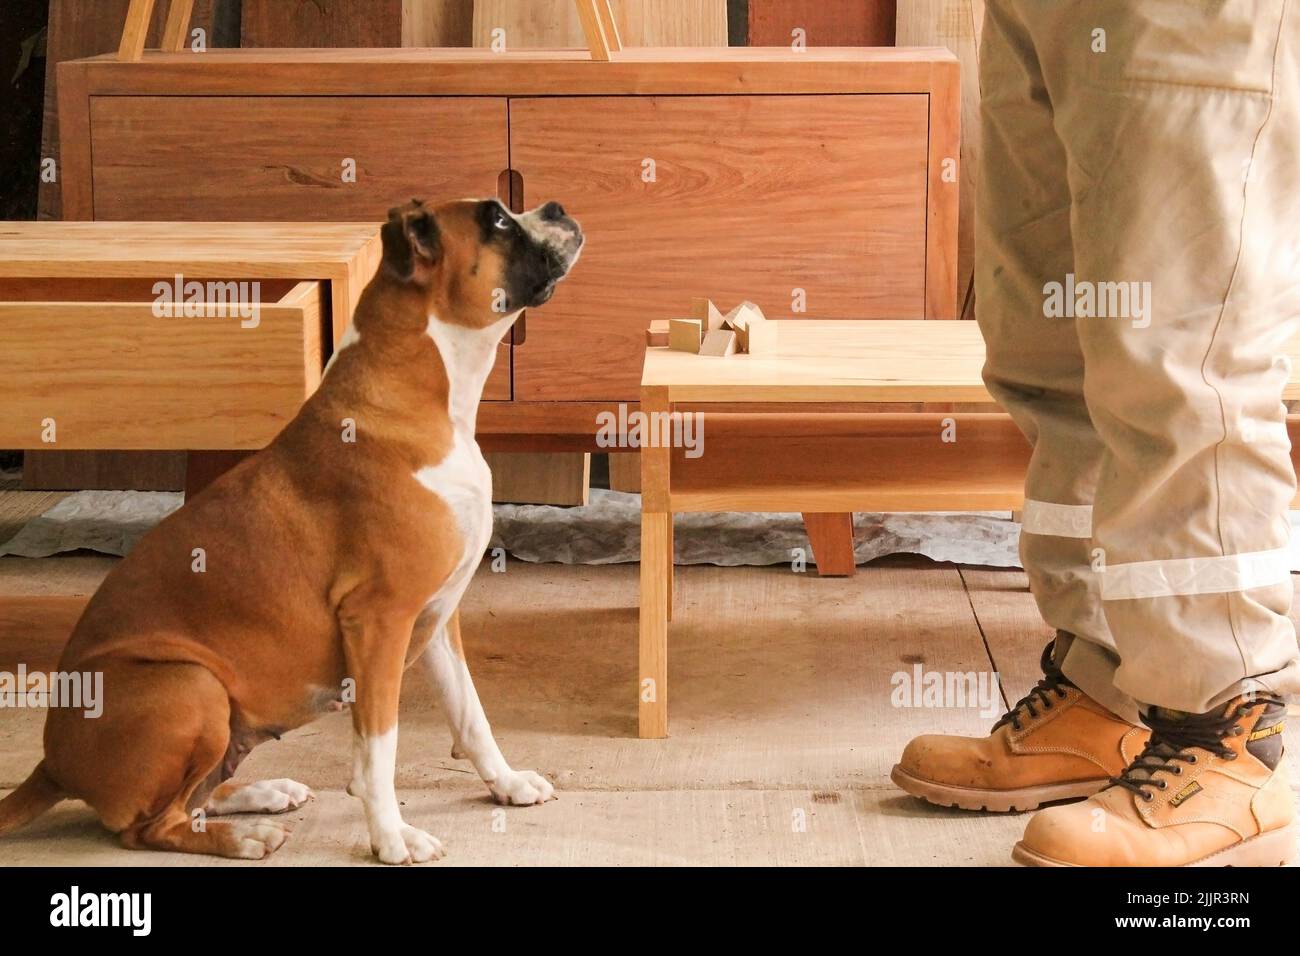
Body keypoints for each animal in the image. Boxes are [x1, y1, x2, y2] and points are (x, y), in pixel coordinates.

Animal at [0, 197, 585, 863]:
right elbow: (379, 747)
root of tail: (51, 764)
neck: (433, 397)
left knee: (195, 796)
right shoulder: (379, 621)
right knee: (149, 827)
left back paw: (261, 794)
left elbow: (471, 712)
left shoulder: (437, 616)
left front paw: (506, 783)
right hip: (191, 683)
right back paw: (244, 835)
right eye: (498, 221)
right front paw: (391, 836)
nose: (556, 206)